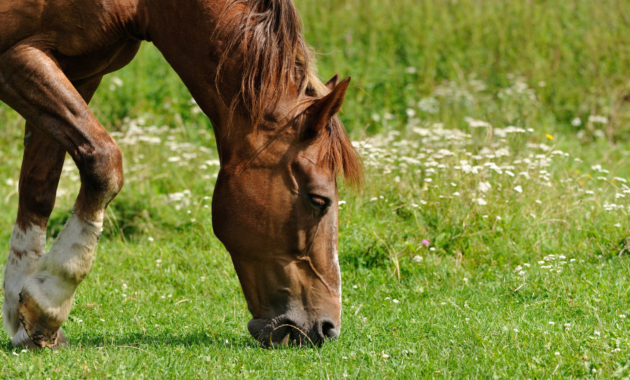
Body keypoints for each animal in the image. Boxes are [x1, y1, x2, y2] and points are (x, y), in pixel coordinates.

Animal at [0, 0, 362, 348]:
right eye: (319, 200)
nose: (327, 328)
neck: (144, 6)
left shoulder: (79, 72)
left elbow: (38, 188)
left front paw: (22, 313)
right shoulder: (18, 57)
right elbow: (103, 162)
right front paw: (50, 302)